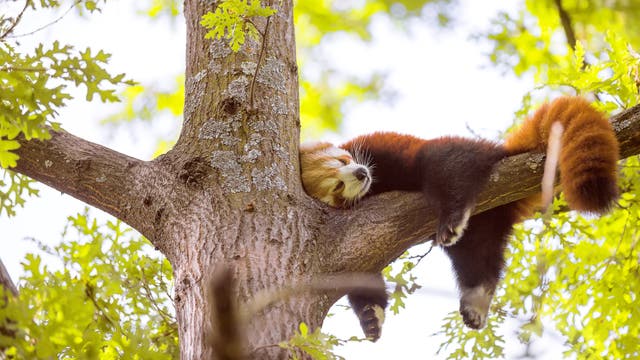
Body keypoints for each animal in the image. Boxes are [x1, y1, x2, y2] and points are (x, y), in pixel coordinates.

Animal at [300, 95, 620, 340]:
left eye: (343, 160)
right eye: (337, 187)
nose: (360, 173)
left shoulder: (379, 147)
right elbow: (363, 274)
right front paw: (370, 316)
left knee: (447, 162)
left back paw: (453, 214)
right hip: (484, 225)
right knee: (477, 256)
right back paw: (477, 297)